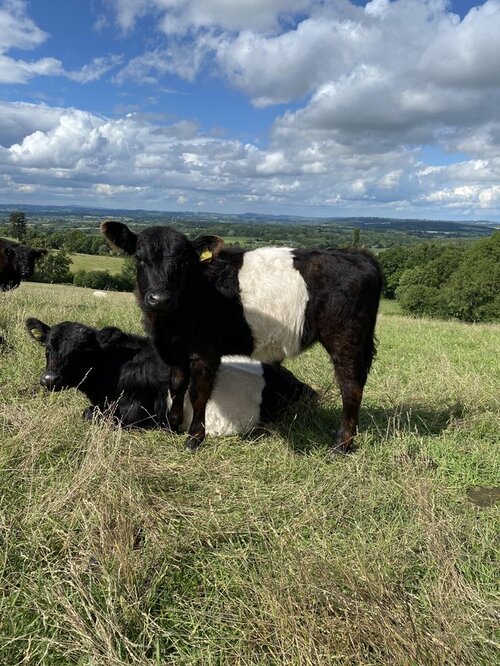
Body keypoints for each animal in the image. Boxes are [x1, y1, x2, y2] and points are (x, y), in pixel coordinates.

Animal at [100, 220, 382, 454]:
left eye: (183, 263)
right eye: (140, 258)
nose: (160, 299)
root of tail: (358, 254)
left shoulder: (205, 351)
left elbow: (198, 393)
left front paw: (194, 438)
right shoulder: (176, 350)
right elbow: (177, 386)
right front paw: (172, 424)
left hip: (346, 339)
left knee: (351, 386)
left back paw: (341, 444)